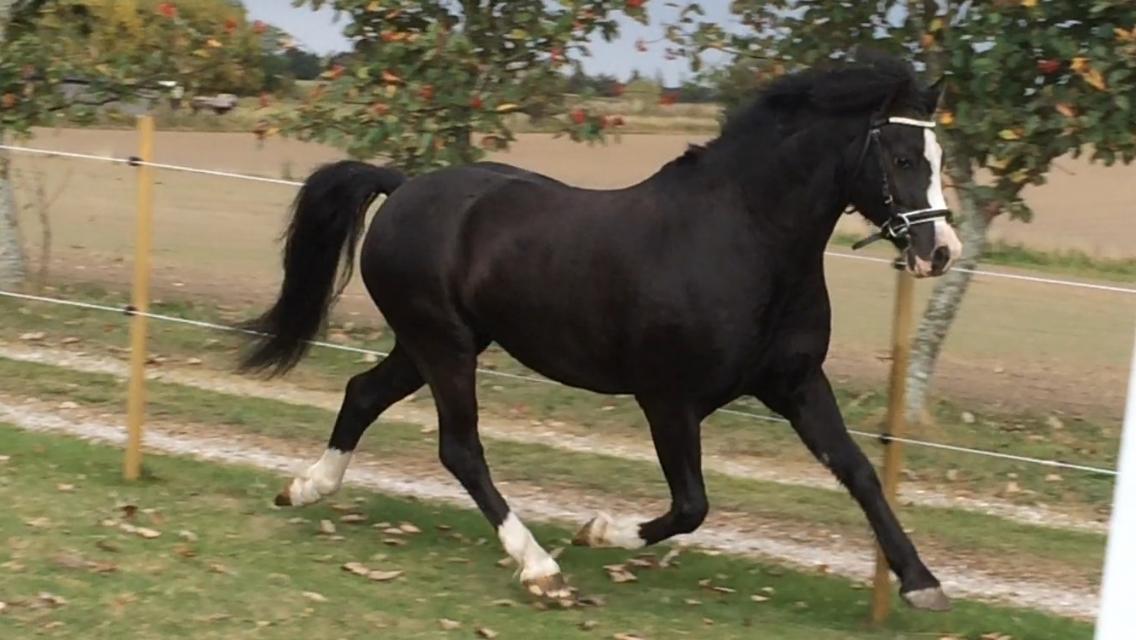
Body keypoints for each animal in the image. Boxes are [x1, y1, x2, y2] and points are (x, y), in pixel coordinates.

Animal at [239, 53, 962, 611]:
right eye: (902, 157)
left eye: (938, 154)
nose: (941, 252)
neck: (742, 240)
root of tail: (404, 185)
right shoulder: (668, 400)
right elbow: (692, 506)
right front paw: (595, 530)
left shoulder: (797, 384)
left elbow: (859, 471)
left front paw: (922, 584)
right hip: (443, 347)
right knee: (460, 449)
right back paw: (541, 570)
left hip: (431, 344)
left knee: (363, 394)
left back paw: (303, 488)